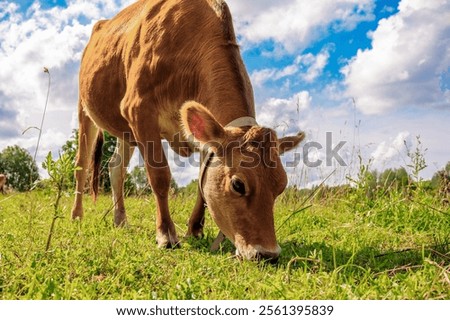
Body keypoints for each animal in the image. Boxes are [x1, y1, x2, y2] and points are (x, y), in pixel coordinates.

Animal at [70, 0, 304, 260]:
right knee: (81, 165)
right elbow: (160, 176)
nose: (267, 254)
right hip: (85, 109)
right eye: (238, 184)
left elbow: (203, 182)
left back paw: (120, 220)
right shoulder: (139, 110)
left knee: (116, 167)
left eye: (281, 186)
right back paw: (77, 215)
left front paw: (194, 229)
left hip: (125, 132)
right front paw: (166, 234)